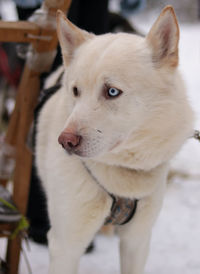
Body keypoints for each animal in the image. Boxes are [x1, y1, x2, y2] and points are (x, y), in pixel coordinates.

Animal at [35, 6, 194, 274]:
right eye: (75, 91)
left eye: (112, 91)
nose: (65, 141)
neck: (122, 177)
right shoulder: (65, 246)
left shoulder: (137, 240)